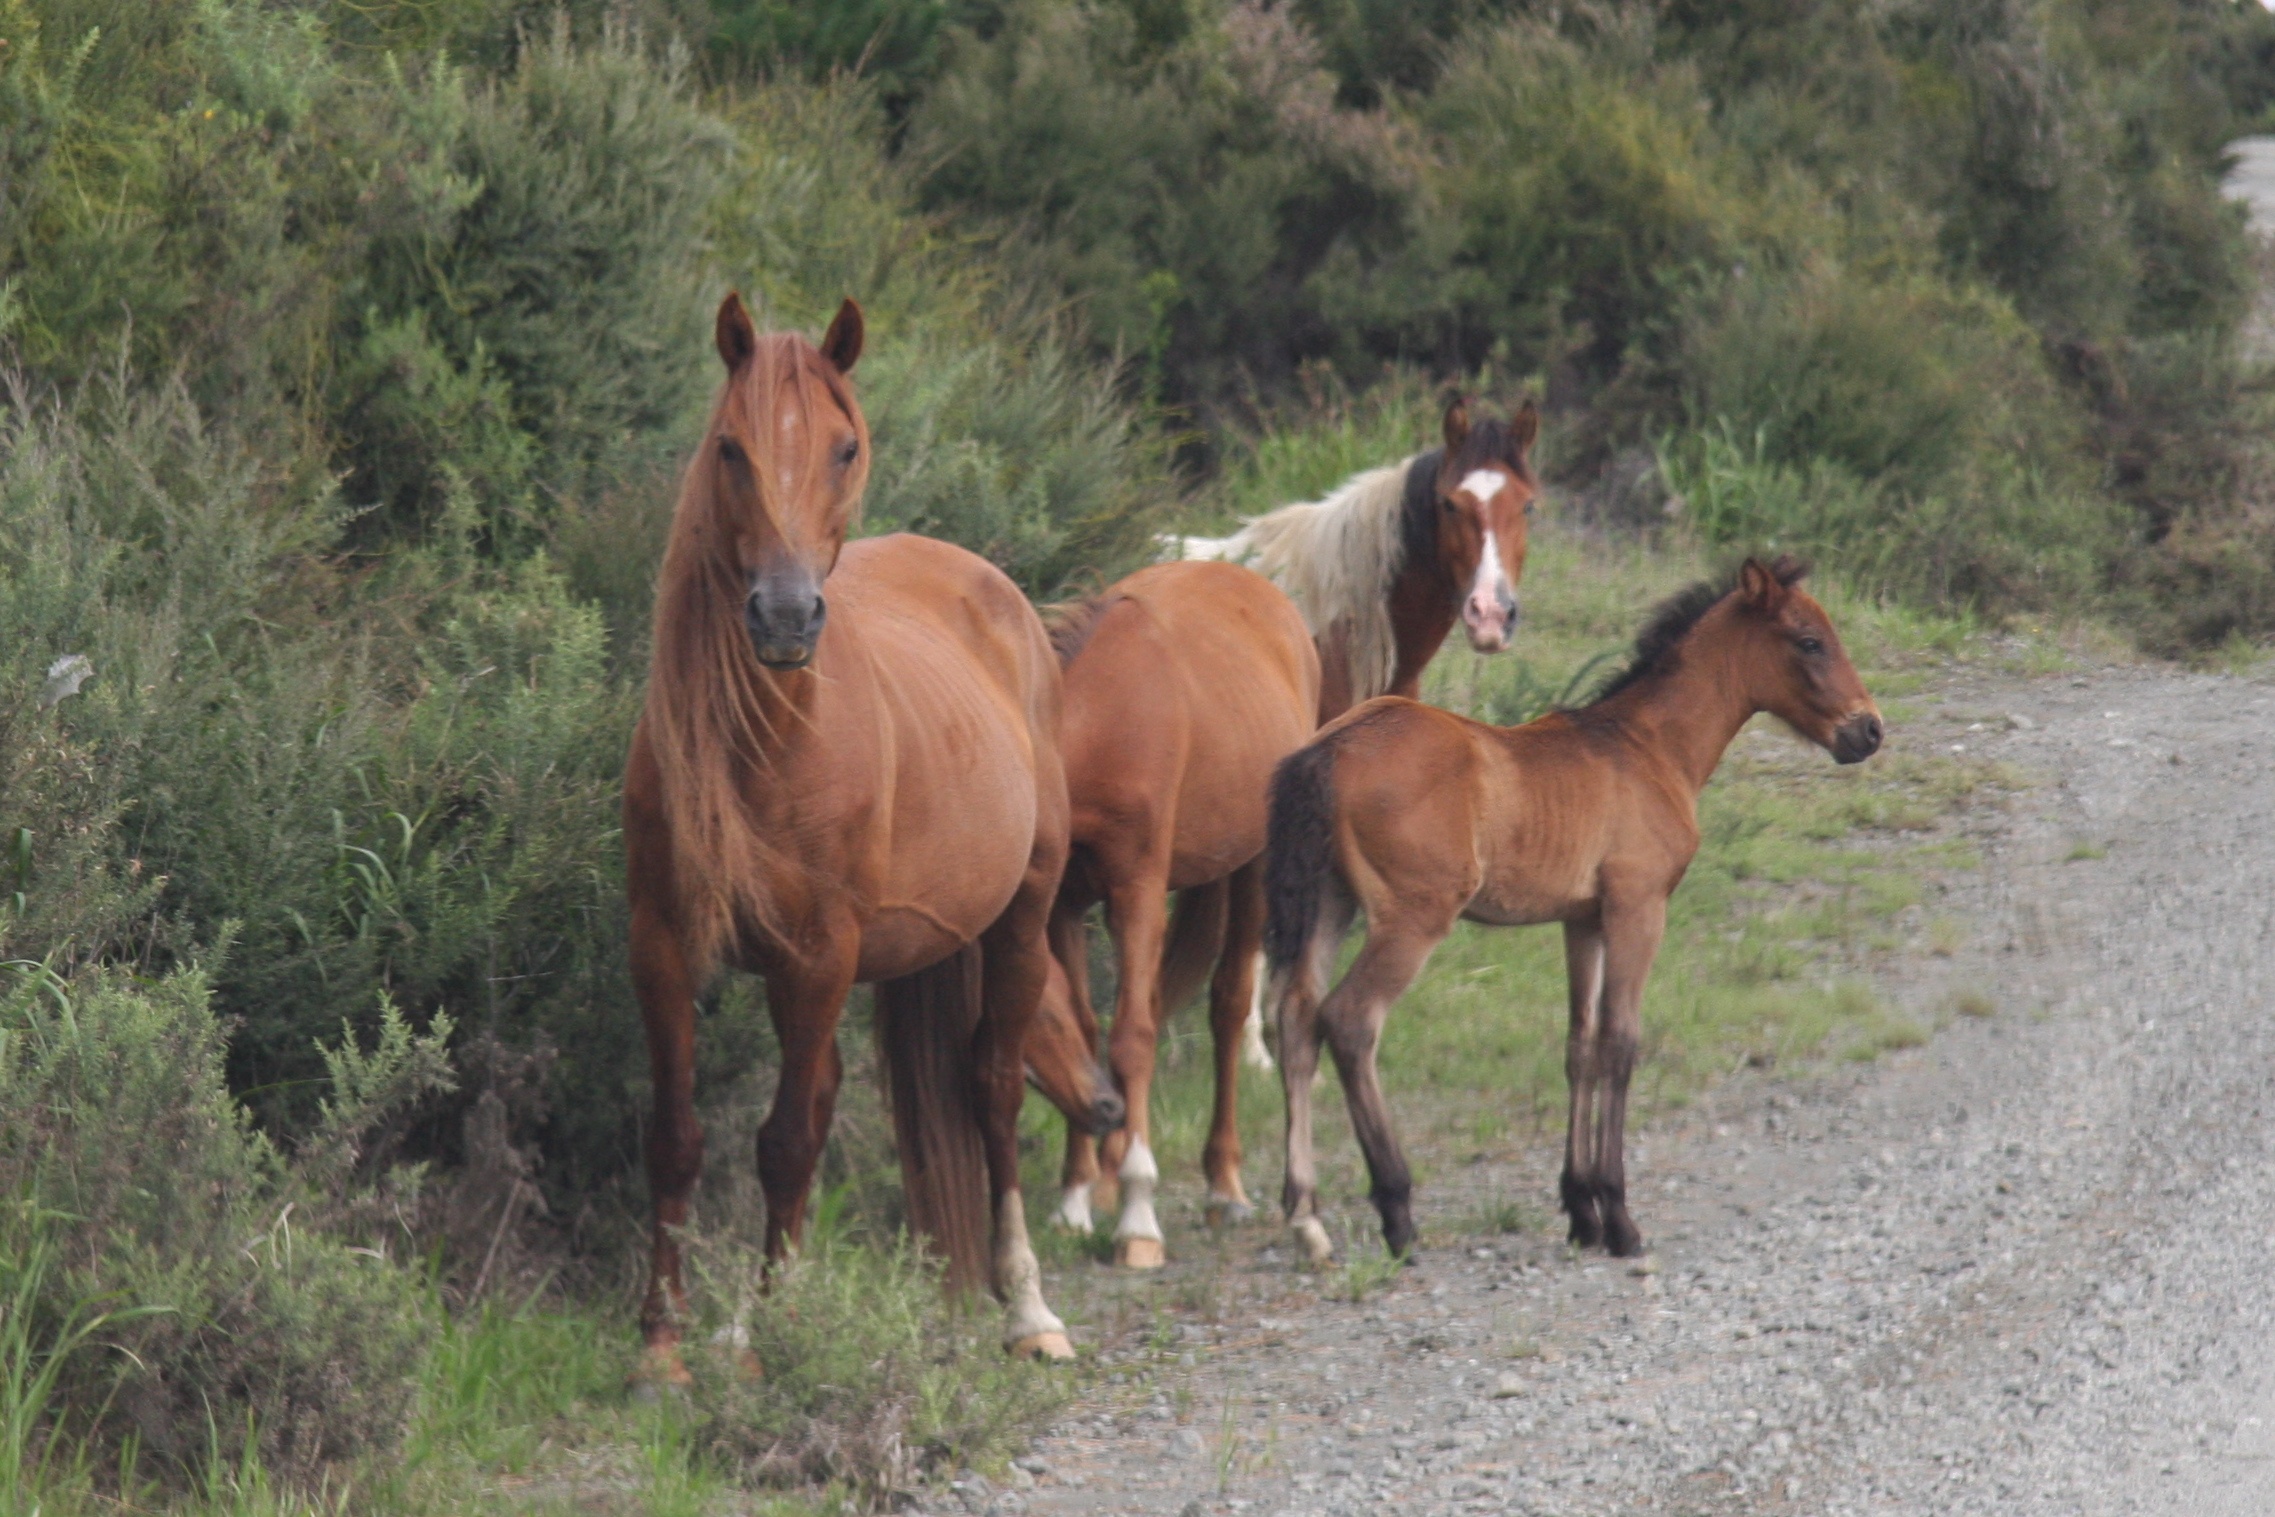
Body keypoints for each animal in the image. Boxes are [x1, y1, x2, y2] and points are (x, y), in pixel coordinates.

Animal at [627, 293, 1078, 1373]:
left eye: (844, 447)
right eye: (731, 447)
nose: (787, 618)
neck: (764, 745)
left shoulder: (818, 954)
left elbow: (785, 1142)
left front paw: (764, 1340)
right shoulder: (660, 944)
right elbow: (678, 1136)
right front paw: (665, 1339)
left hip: (1018, 922)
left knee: (991, 1087)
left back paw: (1026, 1306)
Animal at [1264, 557, 1883, 1273]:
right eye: (1809, 641)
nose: (1869, 730)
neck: (1648, 747)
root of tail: (1329, 750)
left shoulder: (1583, 920)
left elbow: (1579, 1046)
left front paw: (1580, 1209)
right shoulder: (1639, 907)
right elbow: (1620, 1042)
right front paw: (1619, 1216)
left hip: (1329, 906)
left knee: (1296, 1021)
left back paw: (1306, 1218)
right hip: (1412, 918)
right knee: (1351, 1019)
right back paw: (1396, 1210)